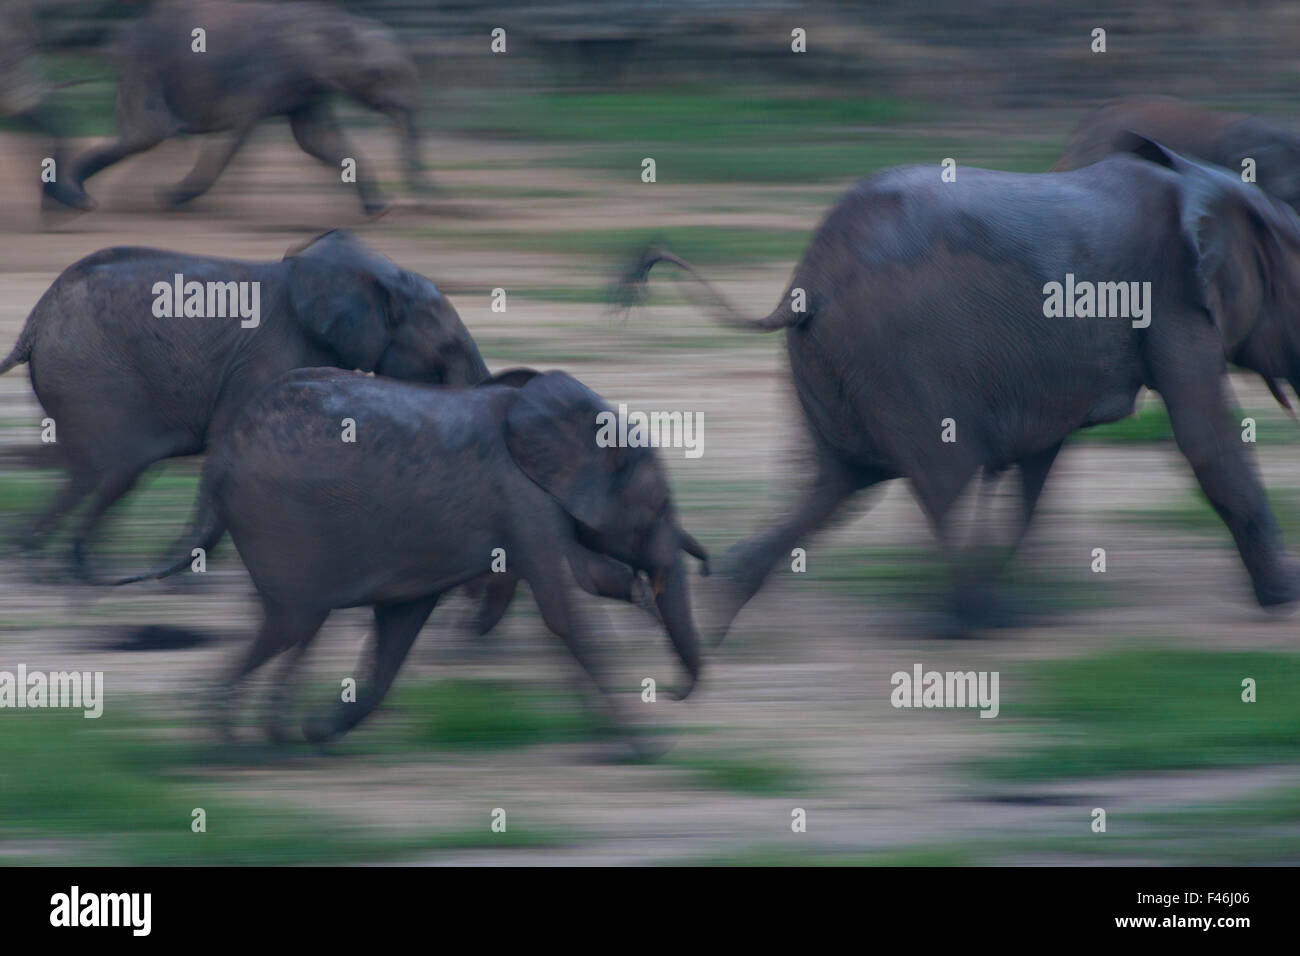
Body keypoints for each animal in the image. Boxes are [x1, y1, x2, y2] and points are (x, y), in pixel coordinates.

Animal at [0, 227, 488, 580]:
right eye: (448, 349)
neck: (383, 277)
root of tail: (35, 321)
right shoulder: (270, 352)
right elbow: (230, 438)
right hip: (91, 371)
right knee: (117, 469)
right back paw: (68, 562)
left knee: (96, 473)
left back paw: (40, 553)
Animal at [63, 0, 428, 213]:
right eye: (378, 74)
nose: (411, 200)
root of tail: (119, 38)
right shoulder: (265, 73)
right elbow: (235, 132)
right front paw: (167, 197)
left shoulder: (306, 85)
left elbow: (317, 140)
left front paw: (380, 208)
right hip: (144, 68)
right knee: (148, 133)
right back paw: (80, 199)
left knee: (146, 134)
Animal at [119, 366, 712, 749]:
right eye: (659, 508)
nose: (674, 693)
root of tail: (219, 462)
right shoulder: (523, 502)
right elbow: (565, 612)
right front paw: (647, 745)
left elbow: (400, 627)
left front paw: (321, 729)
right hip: (278, 520)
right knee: (290, 623)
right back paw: (219, 740)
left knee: (297, 625)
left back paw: (273, 735)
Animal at [618, 138, 1300, 639]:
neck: (1204, 181)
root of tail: (804, 280)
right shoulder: (1172, 299)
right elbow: (1206, 439)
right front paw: (1285, 597)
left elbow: (1040, 463)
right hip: (898, 356)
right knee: (936, 477)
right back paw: (975, 619)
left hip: (833, 362)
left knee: (834, 483)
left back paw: (722, 607)